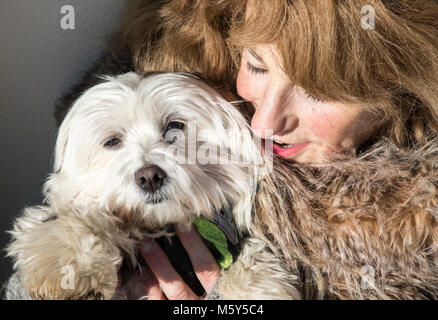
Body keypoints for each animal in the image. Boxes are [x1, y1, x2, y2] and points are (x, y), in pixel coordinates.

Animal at [6, 72, 300, 300]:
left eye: (175, 126)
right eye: (112, 141)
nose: (149, 177)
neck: (162, 229)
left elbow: (252, 262)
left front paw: (250, 287)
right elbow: (72, 221)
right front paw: (68, 264)